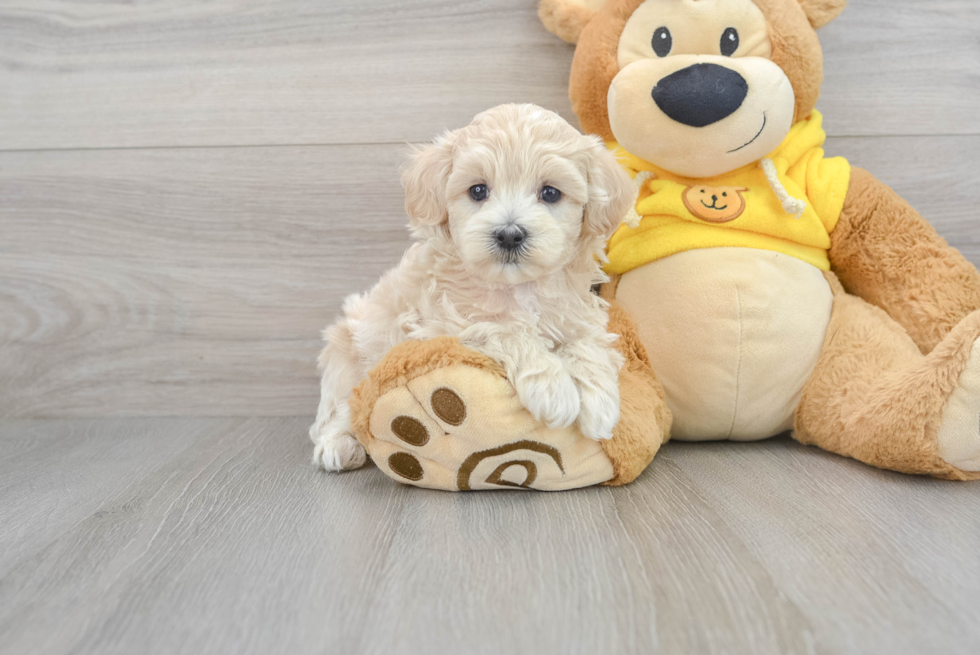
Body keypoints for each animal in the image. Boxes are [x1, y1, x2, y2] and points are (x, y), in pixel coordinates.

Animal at [312, 102, 636, 472]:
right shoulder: (438, 326)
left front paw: (600, 403)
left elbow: (587, 344)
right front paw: (552, 388)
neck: (518, 289)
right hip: (349, 355)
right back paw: (338, 445)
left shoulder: (578, 314)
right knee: (340, 408)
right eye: (478, 190)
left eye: (551, 193)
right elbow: (503, 329)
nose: (509, 234)